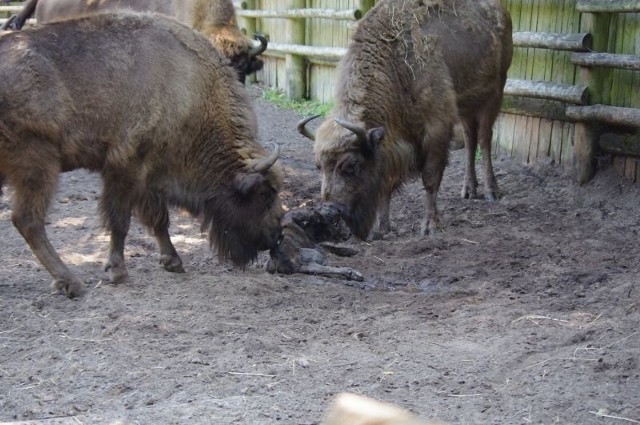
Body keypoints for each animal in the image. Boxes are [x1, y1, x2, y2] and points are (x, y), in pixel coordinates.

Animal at [0, 13, 284, 298]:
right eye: (265, 194)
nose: (277, 234)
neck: (190, 87)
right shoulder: (126, 167)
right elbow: (120, 220)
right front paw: (118, 272)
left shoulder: (153, 175)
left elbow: (158, 219)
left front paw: (173, 261)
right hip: (38, 164)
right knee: (28, 221)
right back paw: (71, 282)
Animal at [300, 0, 516, 238]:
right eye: (318, 166)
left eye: (351, 165)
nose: (332, 209)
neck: (396, 67)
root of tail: (502, 11)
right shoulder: (394, 142)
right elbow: (387, 184)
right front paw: (382, 228)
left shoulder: (436, 130)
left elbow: (430, 179)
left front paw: (430, 226)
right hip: (467, 105)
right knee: (470, 139)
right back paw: (468, 189)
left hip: (494, 93)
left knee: (485, 139)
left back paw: (491, 191)